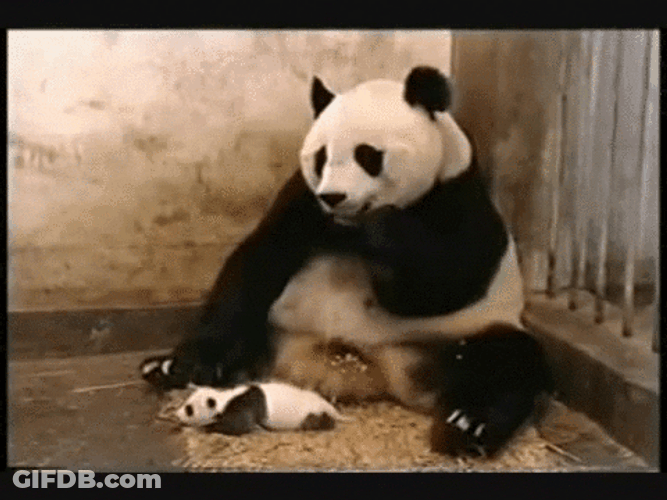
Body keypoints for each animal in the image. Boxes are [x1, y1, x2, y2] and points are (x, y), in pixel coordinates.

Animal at [140, 66, 552, 458]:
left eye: (368, 155)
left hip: (453, 337)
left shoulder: (458, 196)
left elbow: (442, 283)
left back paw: (466, 425)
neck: (347, 225)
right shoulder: (303, 198)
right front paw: (188, 363)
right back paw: (165, 369)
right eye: (321, 157)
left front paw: (384, 230)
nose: (335, 197)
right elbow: (260, 260)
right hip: (278, 328)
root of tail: (369, 373)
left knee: (507, 361)